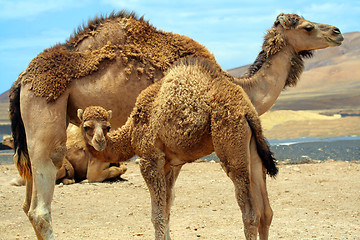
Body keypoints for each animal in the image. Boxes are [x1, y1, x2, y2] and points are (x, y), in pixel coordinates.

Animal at [83, 57, 278, 239]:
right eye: (86, 127)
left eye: (107, 127)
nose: (99, 141)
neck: (131, 129)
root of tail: (248, 111)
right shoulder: (170, 164)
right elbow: (167, 209)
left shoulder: (150, 159)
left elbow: (158, 215)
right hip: (252, 148)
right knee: (266, 211)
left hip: (232, 143)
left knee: (250, 213)